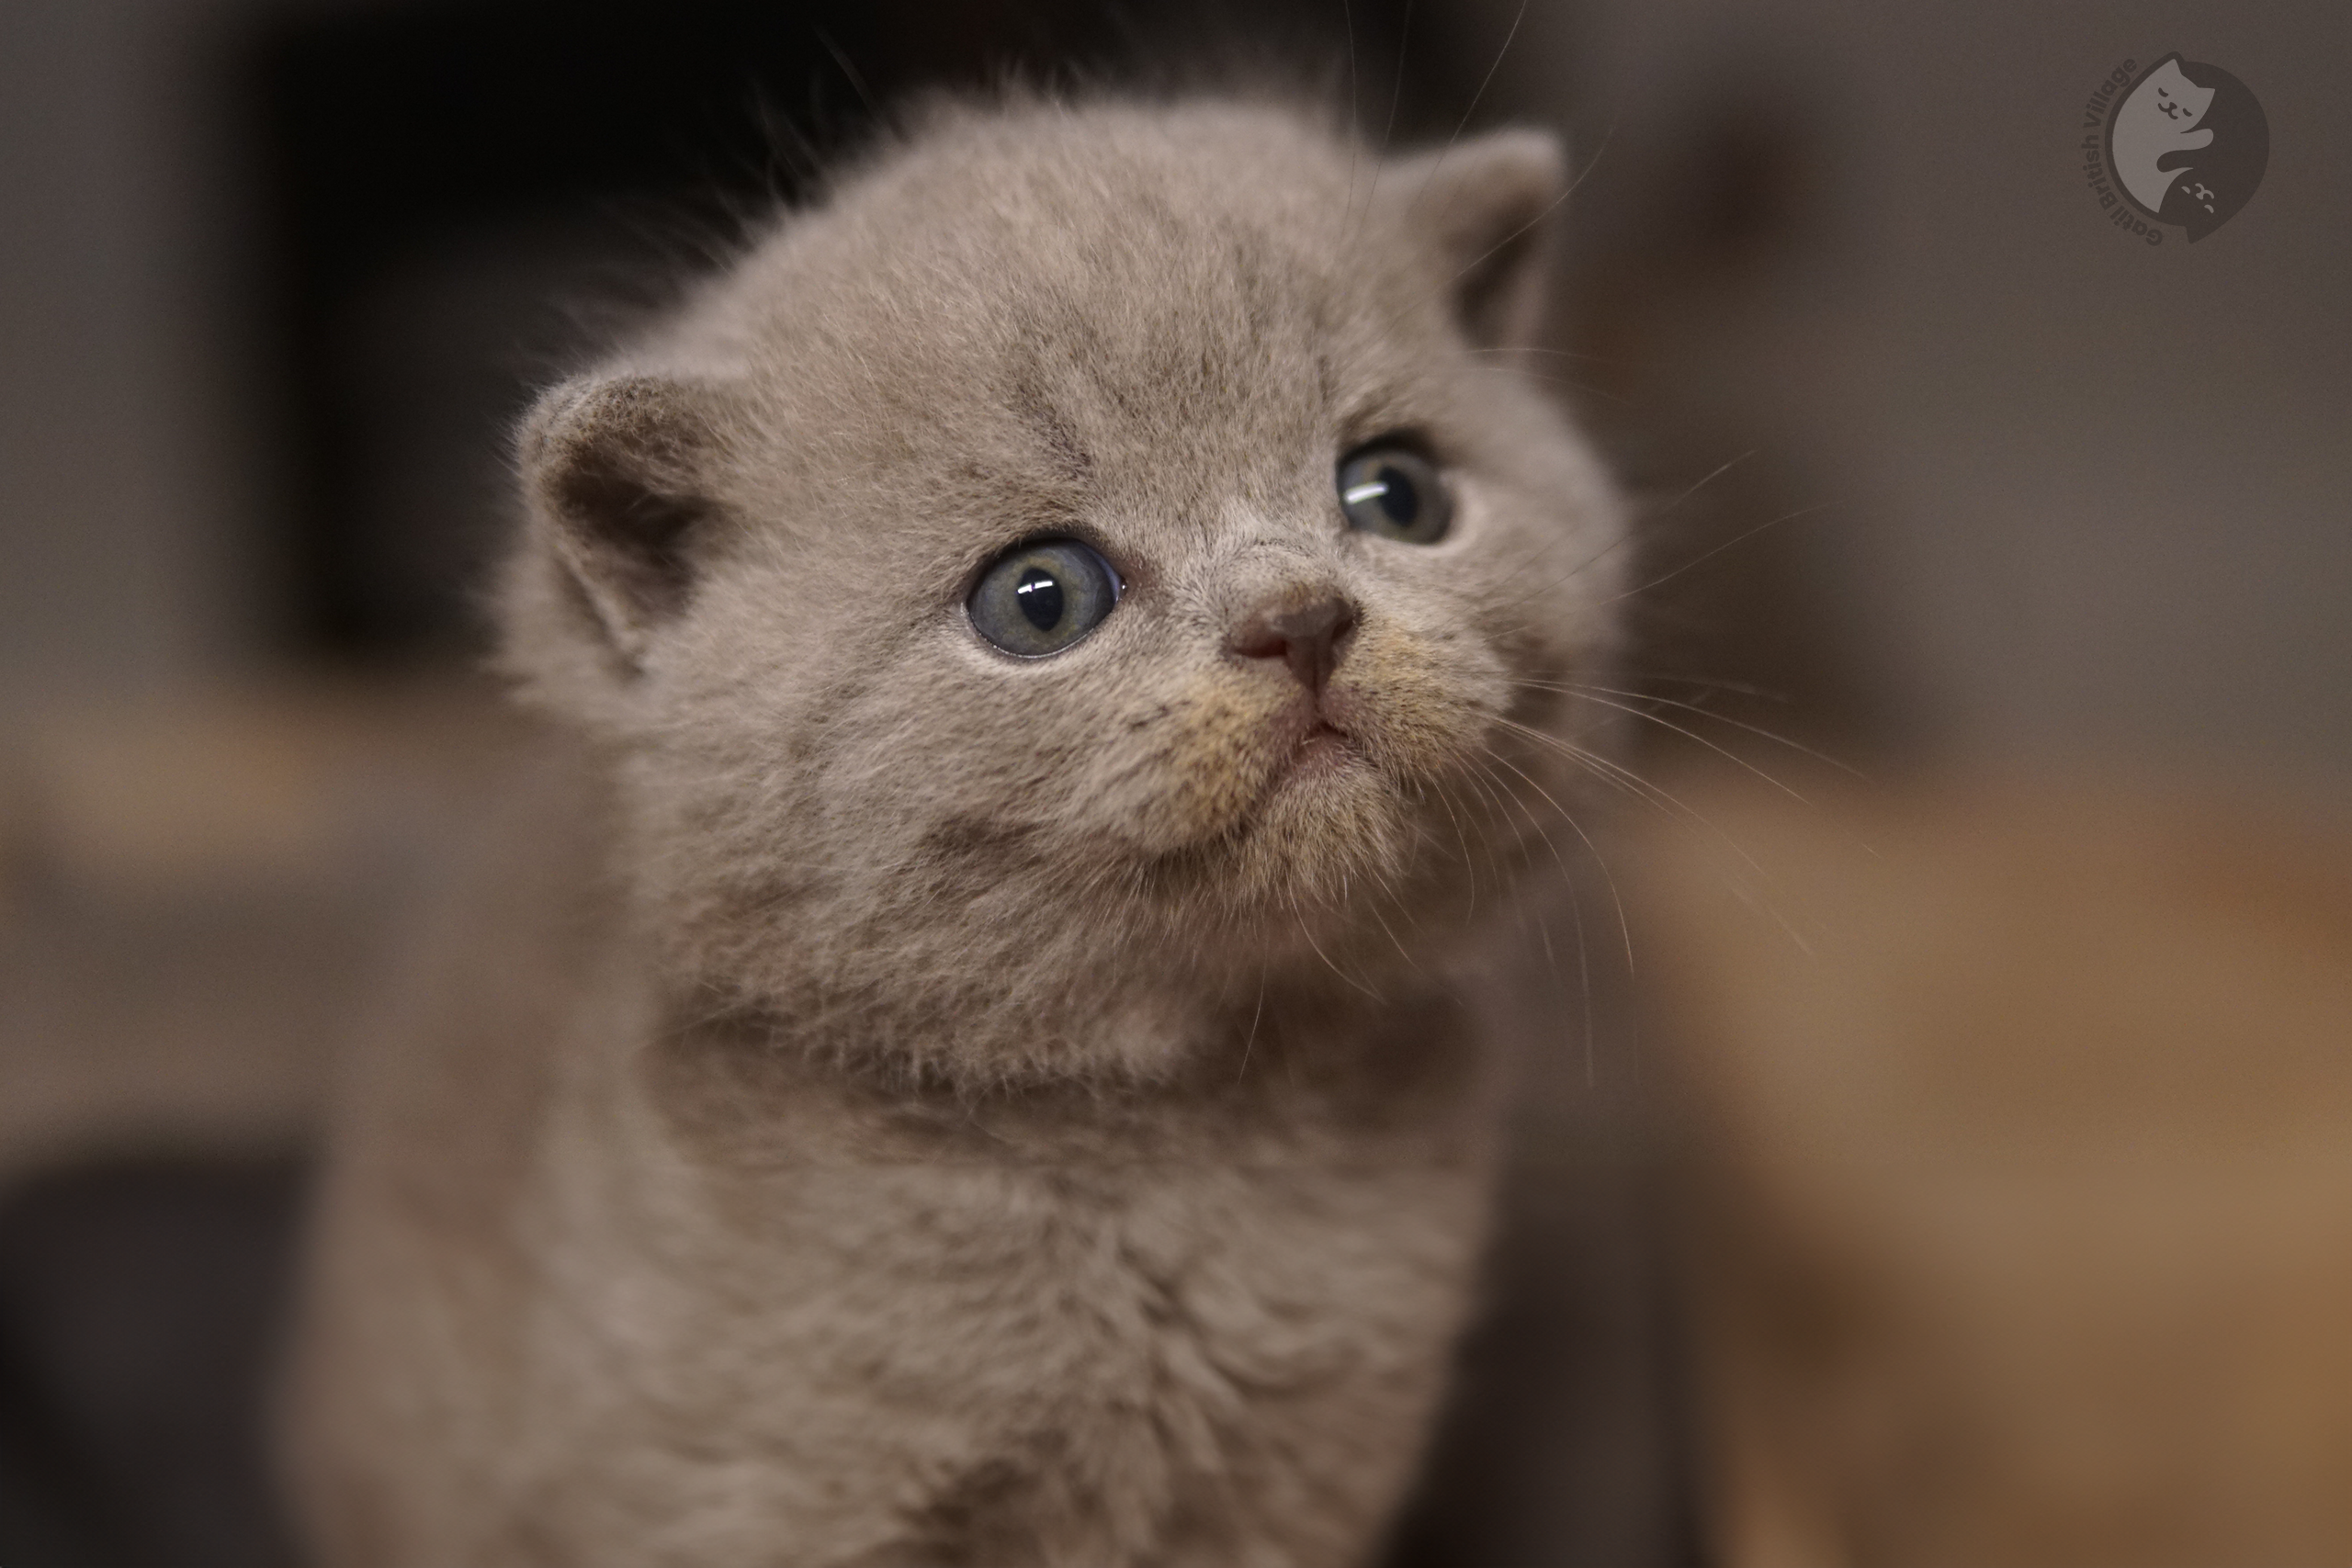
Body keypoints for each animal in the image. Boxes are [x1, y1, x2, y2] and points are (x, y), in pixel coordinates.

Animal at [284, 97, 1627, 1568]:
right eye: (1040, 599)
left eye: (1397, 494)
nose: (1300, 617)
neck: (1177, 1141)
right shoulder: (746, 1497)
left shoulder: (1287, 1485)